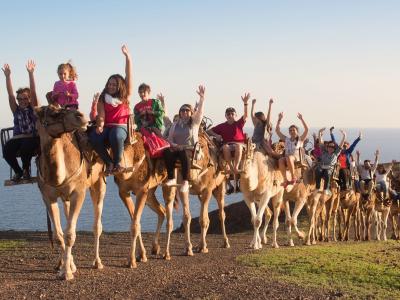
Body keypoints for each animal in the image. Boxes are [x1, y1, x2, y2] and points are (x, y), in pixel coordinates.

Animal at [35, 105, 106, 278]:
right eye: (54, 113)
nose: (81, 116)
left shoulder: (78, 193)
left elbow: (69, 235)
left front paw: (66, 273)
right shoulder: (48, 197)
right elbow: (59, 235)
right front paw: (67, 267)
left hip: (99, 182)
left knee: (97, 225)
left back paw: (97, 262)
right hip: (65, 197)